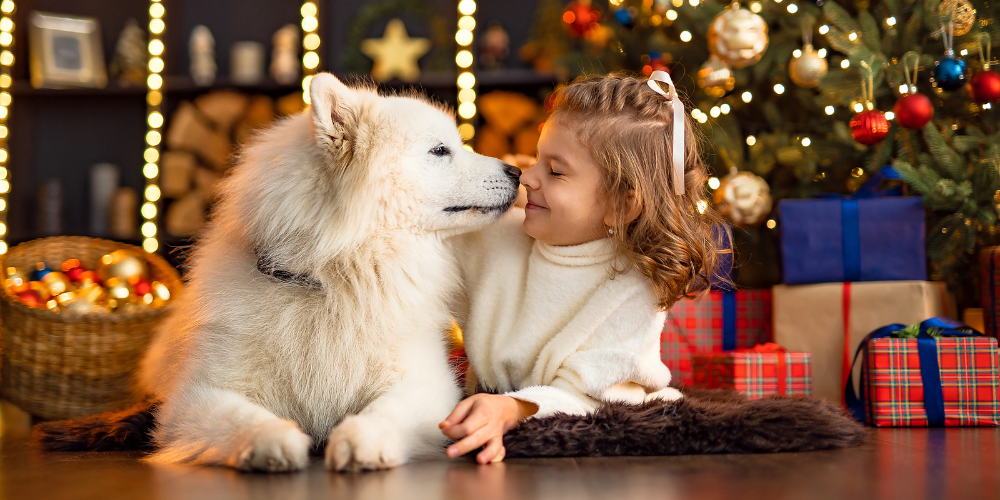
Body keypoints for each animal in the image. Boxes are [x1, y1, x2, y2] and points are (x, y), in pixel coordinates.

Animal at [138, 72, 524, 470]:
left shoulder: (426, 382)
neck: (331, 281)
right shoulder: (194, 398)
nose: (517, 171)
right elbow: (240, 417)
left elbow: (386, 411)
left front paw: (361, 441)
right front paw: (274, 442)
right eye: (439, 151)